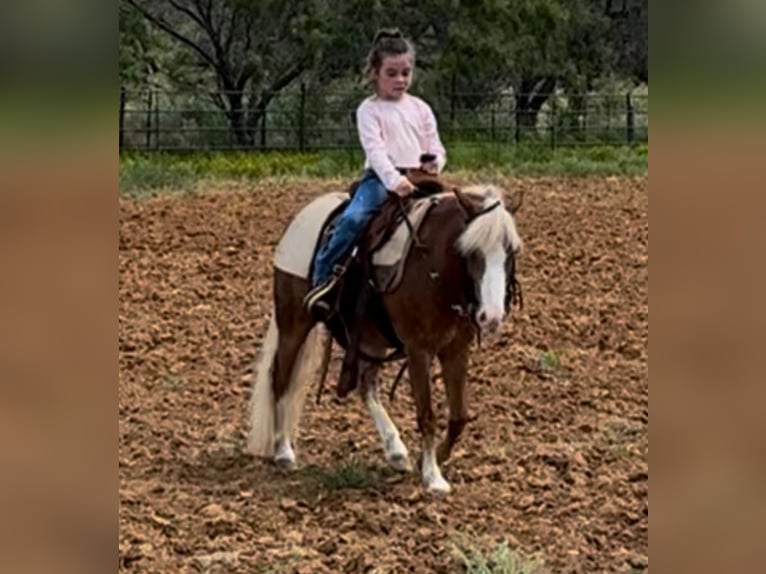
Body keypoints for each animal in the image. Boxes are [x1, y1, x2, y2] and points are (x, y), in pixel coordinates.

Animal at [249, 184, 524, 496]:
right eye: (470, 250)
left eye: (510, 250)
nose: (492, 316)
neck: (434, 266)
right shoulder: (418, 350)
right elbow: (427, 415)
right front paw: (433, 476)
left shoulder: (456, 349)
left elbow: (458, 417)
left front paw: (432, 459)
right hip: (294, 323)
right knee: (280, 378)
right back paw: (283, 451)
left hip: (372, 339)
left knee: (366, 387)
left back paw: (396, 451)